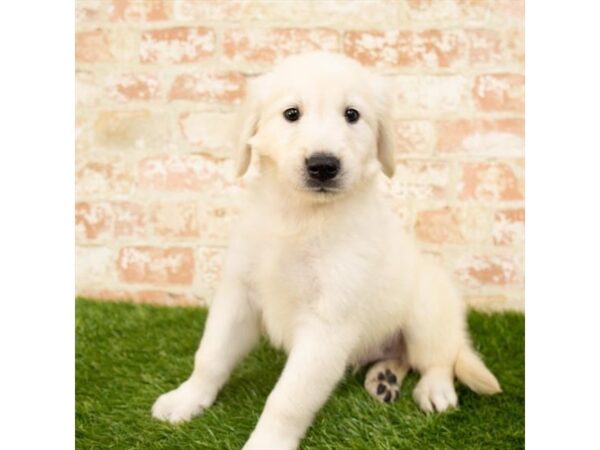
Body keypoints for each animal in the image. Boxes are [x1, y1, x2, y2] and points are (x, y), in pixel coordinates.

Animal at [151, 51, 502, 450]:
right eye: (291, 113)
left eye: (352, 114)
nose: (323, 165)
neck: (302, 217)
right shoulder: (240, 295)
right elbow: (210, 355)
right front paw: (187, 398)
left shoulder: (327, 324)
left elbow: (287, 398)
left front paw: (266, 442)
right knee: (403, 357)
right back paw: (384, 379)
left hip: (428, 308)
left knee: (436, 358)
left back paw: (434, 390)